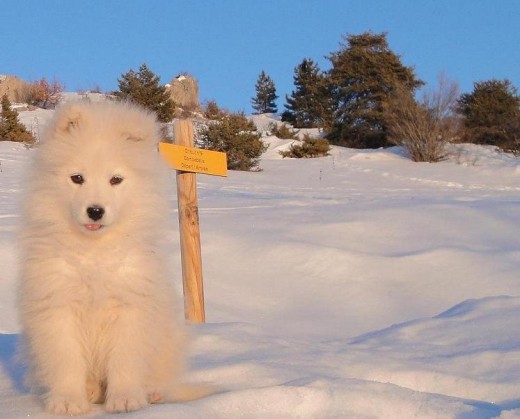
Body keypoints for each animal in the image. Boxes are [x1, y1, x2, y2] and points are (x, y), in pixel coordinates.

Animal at [18, 101, 209, 416]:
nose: (95, 211)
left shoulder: (130, 307)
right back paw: (91, 392)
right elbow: (66, 360)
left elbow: (124, 359)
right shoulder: (58, 306)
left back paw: (152, 393)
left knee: (160, 376)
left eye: (115, 180)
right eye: (77, 178)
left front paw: (126, 400)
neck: (94, 253)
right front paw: (68, 402)